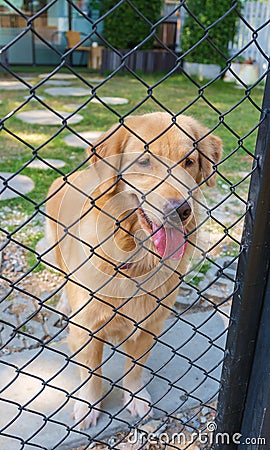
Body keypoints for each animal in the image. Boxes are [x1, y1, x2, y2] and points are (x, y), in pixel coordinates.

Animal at [43, 111, 221, 428]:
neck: (137, 254)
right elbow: (91, 374)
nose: (181, 210)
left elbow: (135, 367)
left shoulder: (150, 324)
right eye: (144, 161)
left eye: (189, 161)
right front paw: (89, 406)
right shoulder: (86, 328)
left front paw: (135, 397)